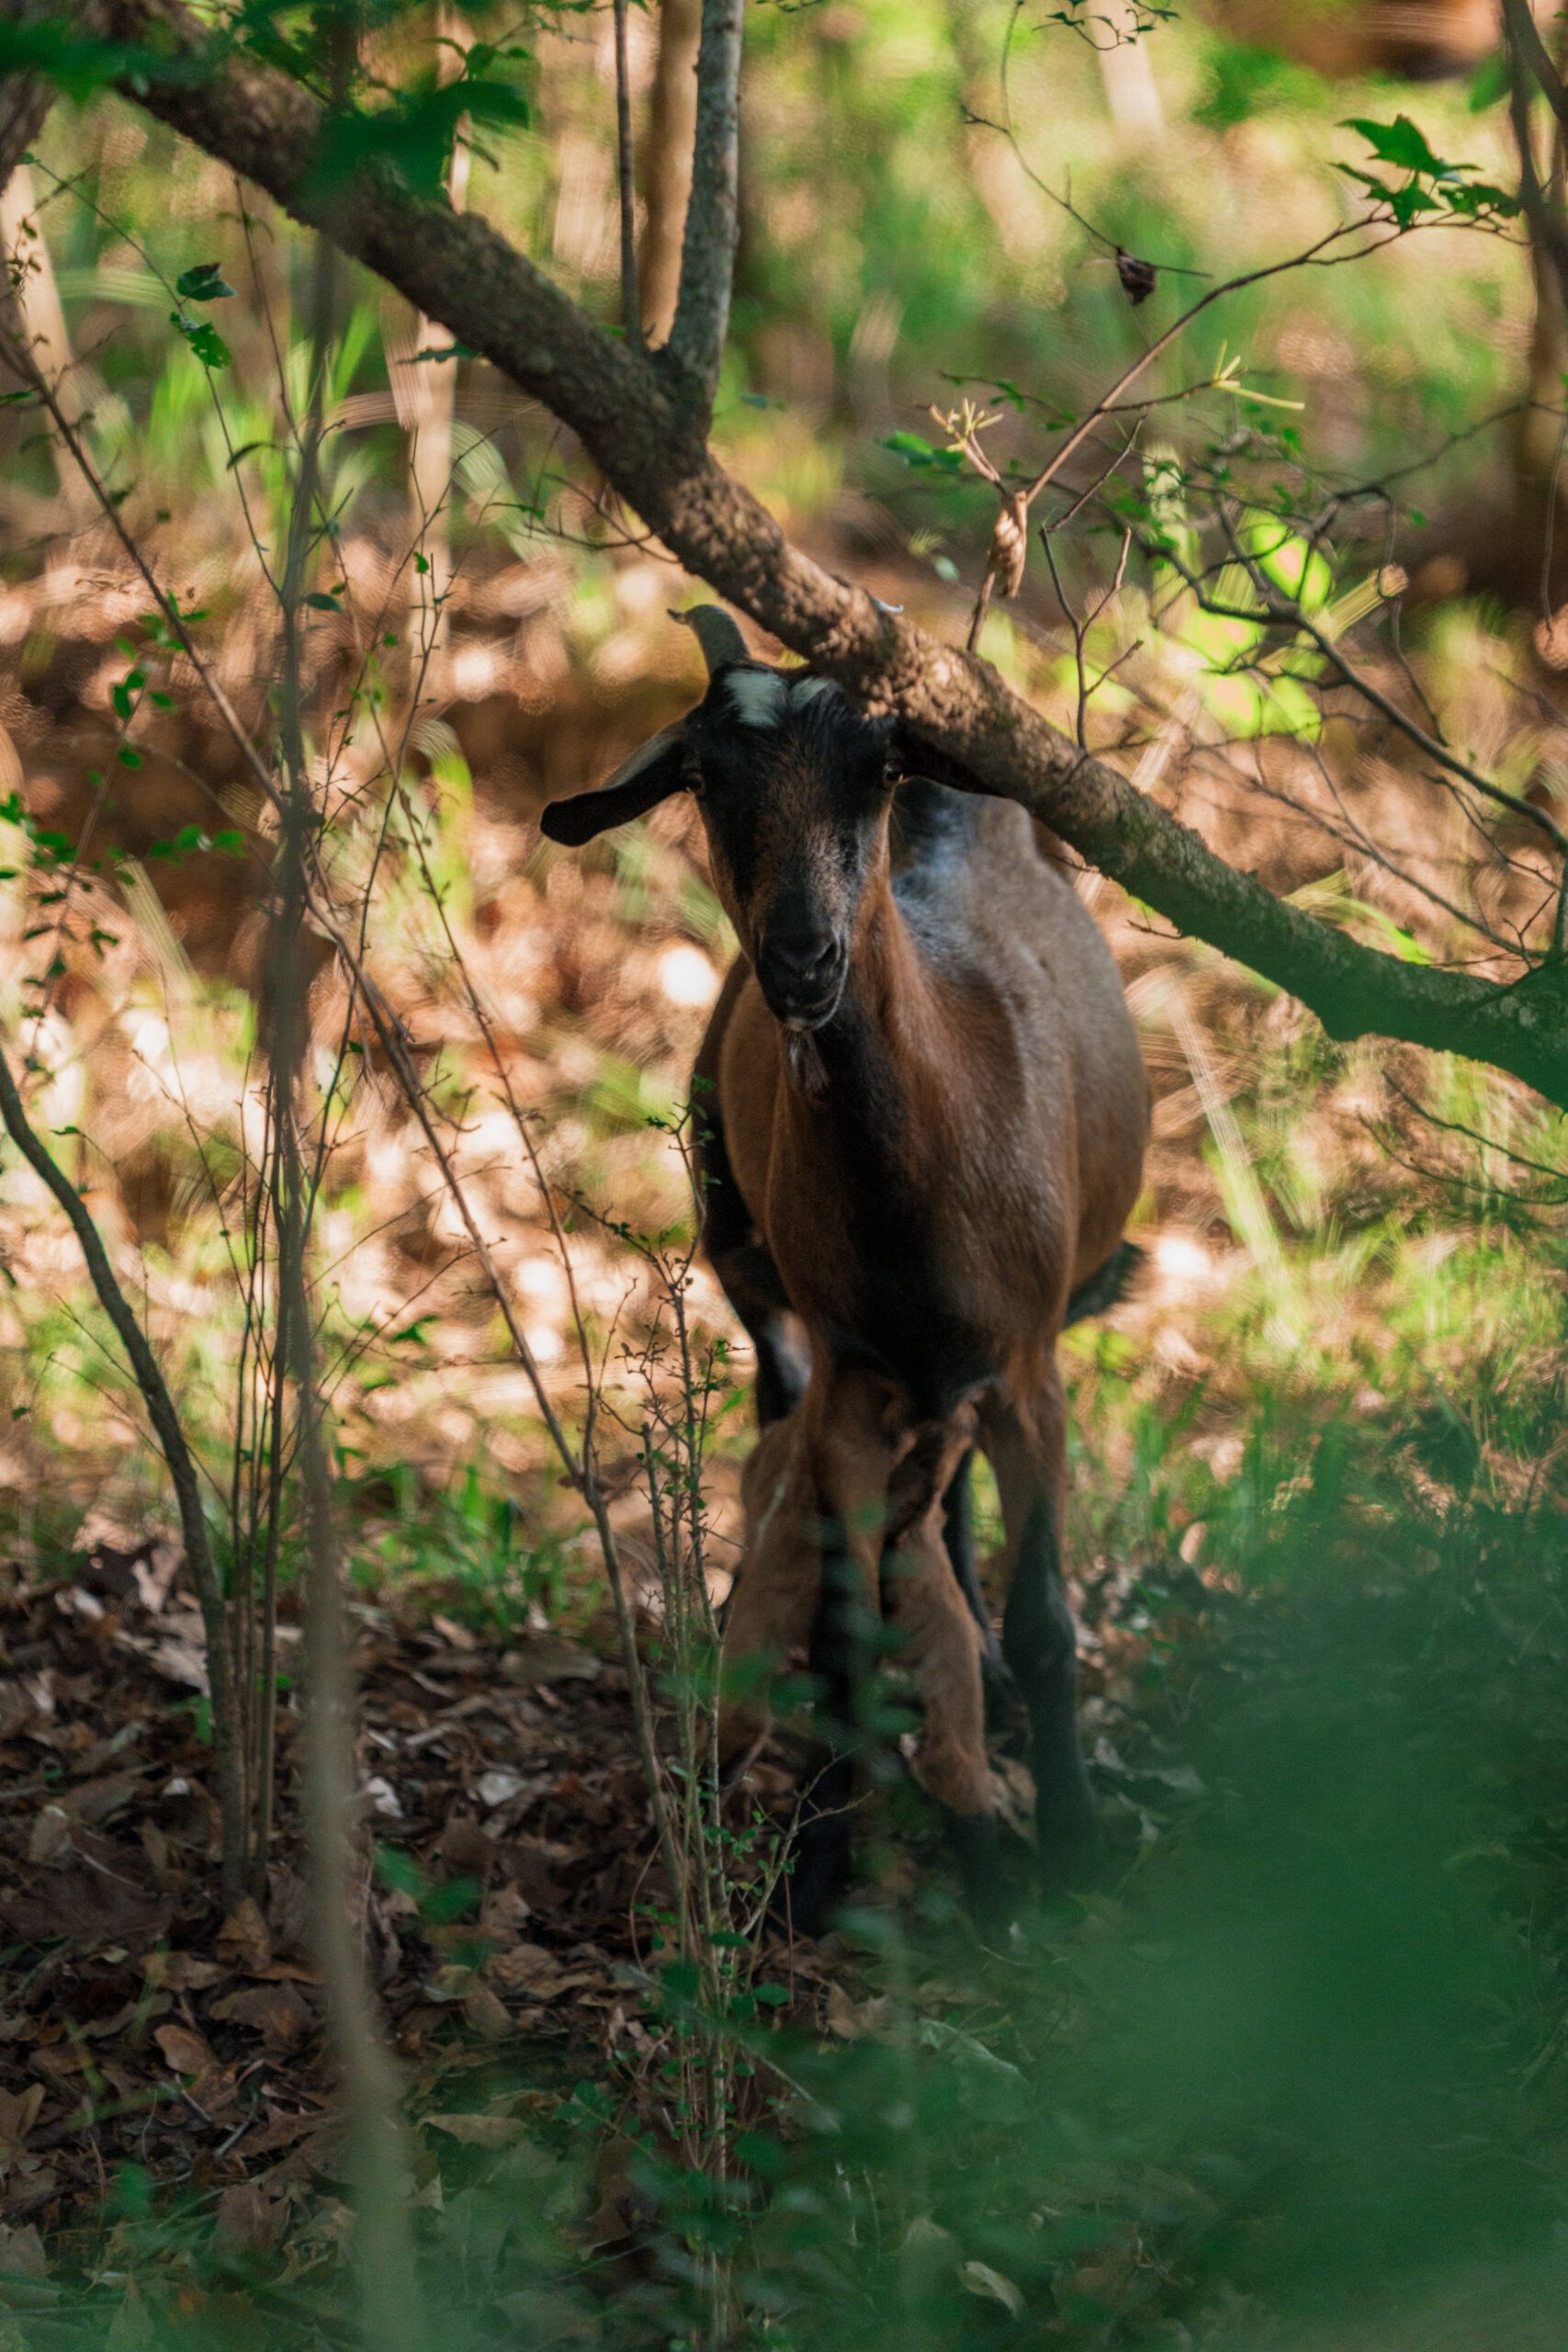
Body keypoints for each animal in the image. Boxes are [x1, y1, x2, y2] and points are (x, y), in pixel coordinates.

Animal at [541, 604, 1150, 1929]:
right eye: (702, 781)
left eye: (873, 773)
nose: (802, 960)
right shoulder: (847, 1379)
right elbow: (841, 1629)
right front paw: (820, 1863)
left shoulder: (1028, 1365)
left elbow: (1046, 1618)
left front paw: (1079, 1845)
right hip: (751, 1272)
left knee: (959, 1512)